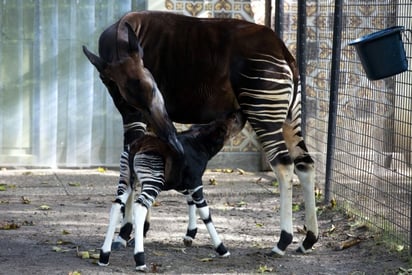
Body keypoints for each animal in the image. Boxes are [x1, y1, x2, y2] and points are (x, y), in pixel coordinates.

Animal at [99, 110, 245, 272]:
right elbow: (205, 213)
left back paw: (104, 256)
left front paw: (189, 235)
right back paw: (140, 260)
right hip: (153, 179)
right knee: (139, 207)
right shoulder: (196, 182)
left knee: (117, 205)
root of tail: (137, 145)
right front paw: (221, 248)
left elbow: (191, 202)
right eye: (235, 120)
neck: (201, 143)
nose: (242, 114)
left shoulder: (182, 184)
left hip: (126, 177)